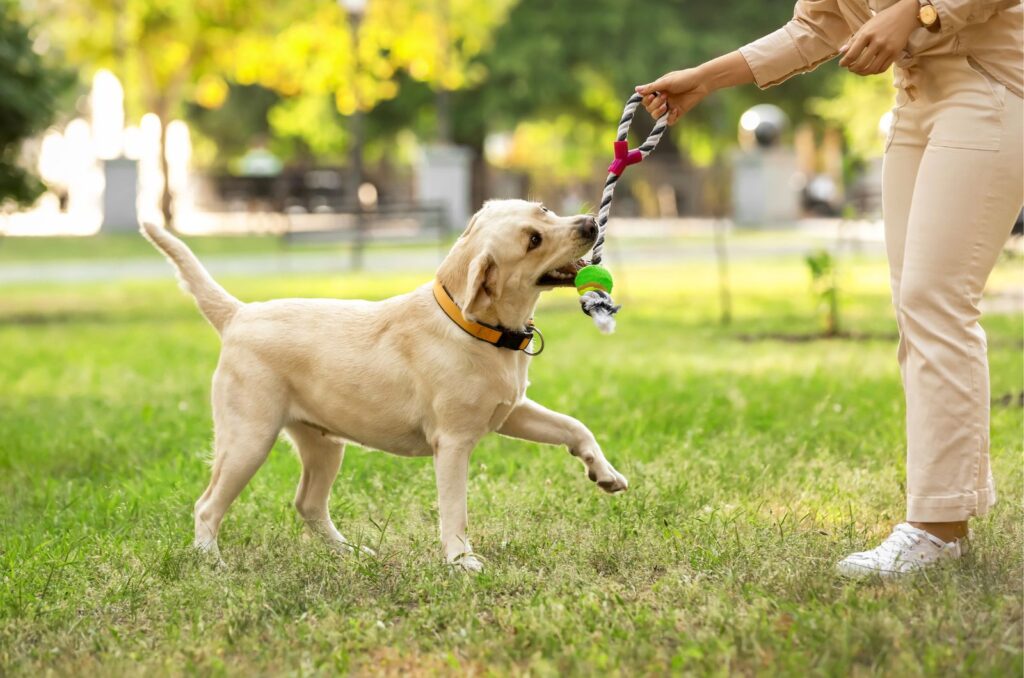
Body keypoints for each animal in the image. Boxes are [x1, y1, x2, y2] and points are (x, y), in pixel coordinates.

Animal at [141, 201, 626, 573]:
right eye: (533, 241)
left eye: (543, 210)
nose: (590, 223)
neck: (472, 325)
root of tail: (239, 314)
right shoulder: (453, 442)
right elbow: (455, 509)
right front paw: (461, 561)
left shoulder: (512, 411)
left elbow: (574, 426)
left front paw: (605, 473)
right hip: (249, 438)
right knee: (208, 505)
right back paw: (211, 562)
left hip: (323, 444)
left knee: (308, 504)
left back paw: (351, 554)